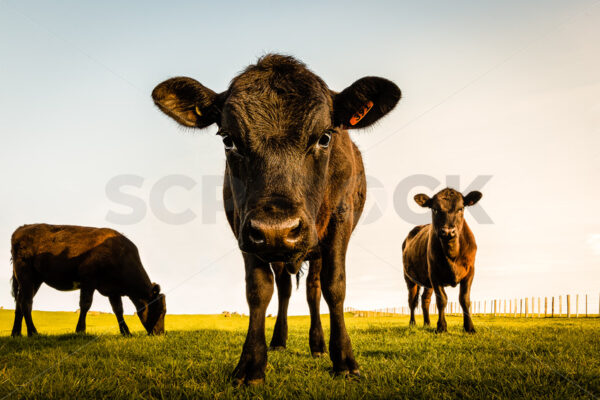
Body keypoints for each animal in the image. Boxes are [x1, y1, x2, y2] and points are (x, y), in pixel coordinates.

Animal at [11, 223, 166, 336]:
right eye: (159, 310)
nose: (160, 333)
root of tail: (22, 228)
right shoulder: (88, 281)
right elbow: (85, 304)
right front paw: (80, 330)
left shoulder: (113, 290)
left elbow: (118, 310)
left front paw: (126, 332)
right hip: (26, 275)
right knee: (26, 303)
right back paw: (33, 332)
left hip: (35, 280)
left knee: (19, 302)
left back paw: (16, 333)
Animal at [152, 54, 400, 384]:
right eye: (228, 140)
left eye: (324, 137)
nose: (276, 229)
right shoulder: (242, 224)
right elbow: (258, 289)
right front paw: (251, 364)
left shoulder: (341, 219)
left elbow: (335, 286)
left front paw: (345, 360)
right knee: (284, 288)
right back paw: (280, 340)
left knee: (313, 290)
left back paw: (318, 346)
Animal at [404, 189, 482, 332]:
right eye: (435, 209)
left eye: (461, 208)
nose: (448, 231)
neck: (452, 254)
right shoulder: (434, 274)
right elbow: (441, 300)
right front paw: (441, 327)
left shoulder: (470, 272)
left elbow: (465, 299)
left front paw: (469, 327)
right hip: (409, 278)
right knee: (412, 301)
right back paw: (412, 323)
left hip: (427, 282)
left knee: (425, 300)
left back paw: (427, 323)